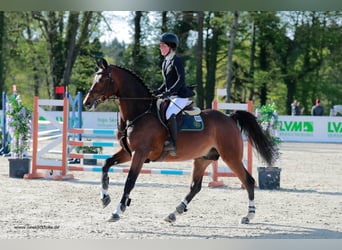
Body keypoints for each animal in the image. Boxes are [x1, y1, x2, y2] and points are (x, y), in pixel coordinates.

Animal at [83, 59, 278, 225]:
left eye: (103, 80)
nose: (86, 102)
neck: (139, 112)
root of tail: (230, 118)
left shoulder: (140, 153)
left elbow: (130, 181)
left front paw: (117, 211)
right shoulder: (127, 152)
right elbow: (106, 165)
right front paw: (105, 198)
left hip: (231, 157)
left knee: (248, 180)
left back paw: (249, 215)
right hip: (203, 158)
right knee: (195, 187)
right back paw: (174, 213)